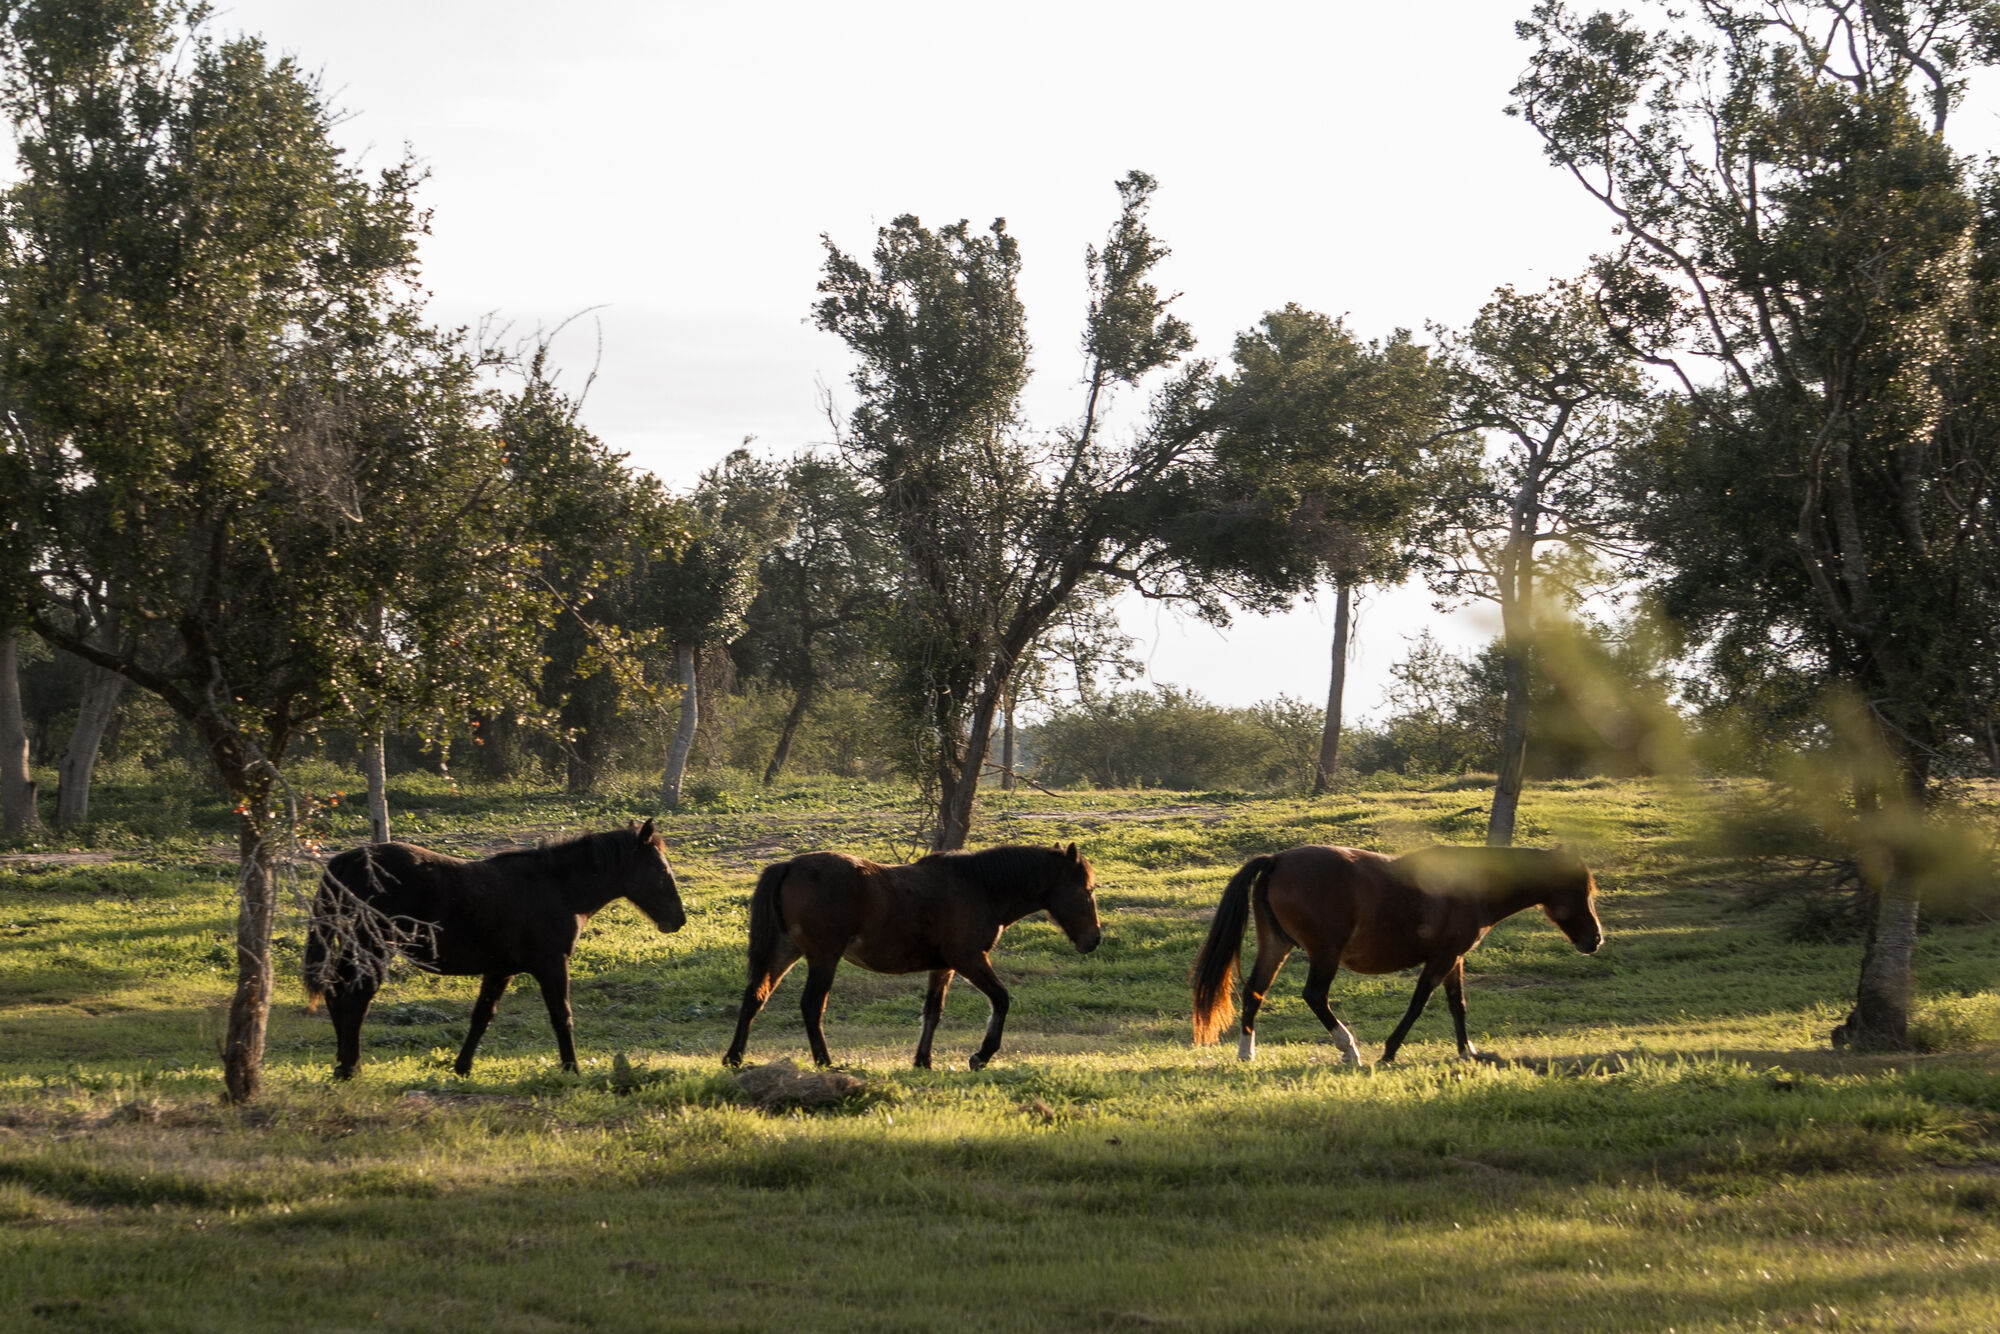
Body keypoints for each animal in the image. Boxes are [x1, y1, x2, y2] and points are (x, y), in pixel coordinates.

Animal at [305, 819, 685, 1079]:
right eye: (660, 870)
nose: (678, 920)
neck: (556, 888)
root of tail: (344, 862)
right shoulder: (552, 964)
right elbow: (561, 1016)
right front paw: (571, 1068)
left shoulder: (499, 970)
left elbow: (482, 1017)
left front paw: (462, 1068)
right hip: (373, 948)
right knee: (355, 998)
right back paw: (350, 1067)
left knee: (337, 992)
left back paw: (342, 1064)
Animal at [722, 842, 1102, 1071]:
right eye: (1087, 890)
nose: (1094, 940)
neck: (978, 887)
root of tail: (789, 865)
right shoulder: (969, 959)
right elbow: (1001, 999)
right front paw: (981, 1055)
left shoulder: (944, 968)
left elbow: (933, 1012)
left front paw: (923, 1061)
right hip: (823, 957)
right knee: (811, 1005)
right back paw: (825, 1061)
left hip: (786, 951)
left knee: (755, 997)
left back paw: (734, 1057)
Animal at [1189, 843, 1601, 1064]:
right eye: (1580, 891)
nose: (1595, 939)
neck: (1469, 886)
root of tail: (1277, 859)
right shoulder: (1441, 959)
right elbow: (1418, 1004)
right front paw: (1388, 1051)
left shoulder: (1454, 959)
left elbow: (1458, 1005)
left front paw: (1466, 1051)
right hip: (1323, 953)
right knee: (1315, 996)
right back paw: (1349, 1049)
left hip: (1277, 946)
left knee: (1254, 993)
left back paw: (1247, 1053)